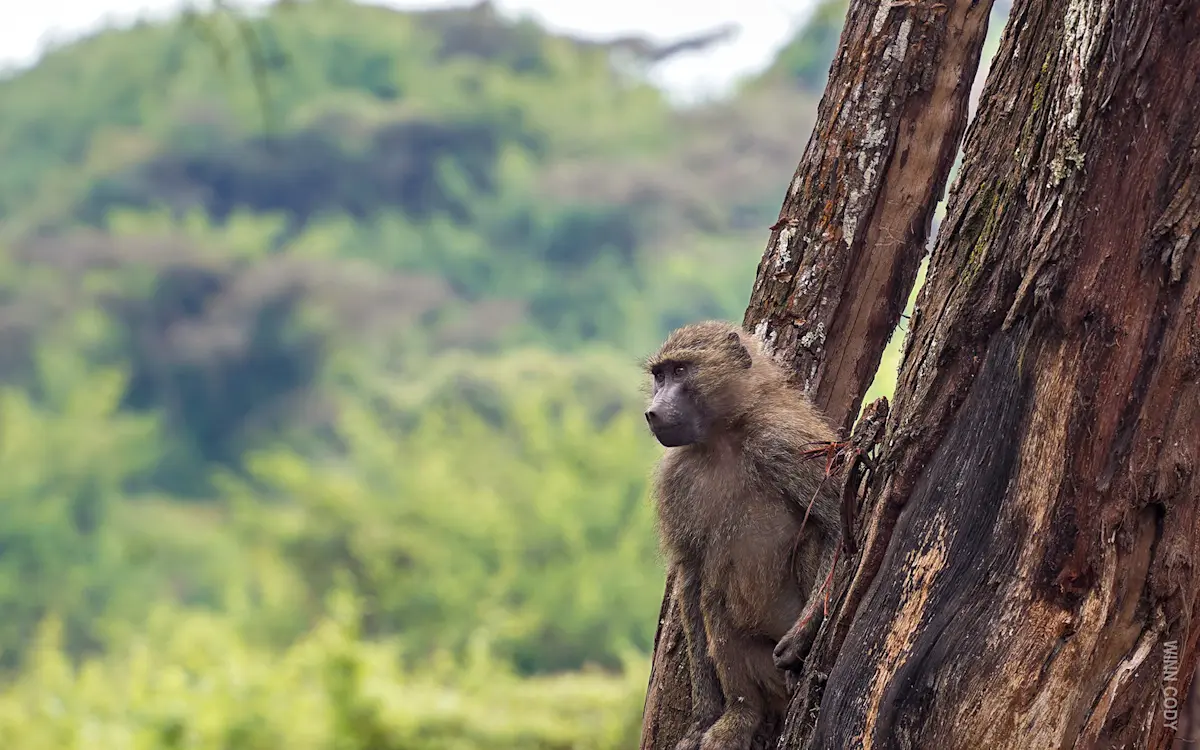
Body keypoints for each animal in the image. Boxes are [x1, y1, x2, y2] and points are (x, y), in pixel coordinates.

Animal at [643, 320, 843, 750]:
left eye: (681, 370)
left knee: (813, 541)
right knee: (713, 599)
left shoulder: (784, 441)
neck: (724, 437)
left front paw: (801, 638)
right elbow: (692, 578)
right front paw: (702, 718)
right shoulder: (674, 479)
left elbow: (838, 524)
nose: (652, 411)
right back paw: (738, 716)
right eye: (659, 376)